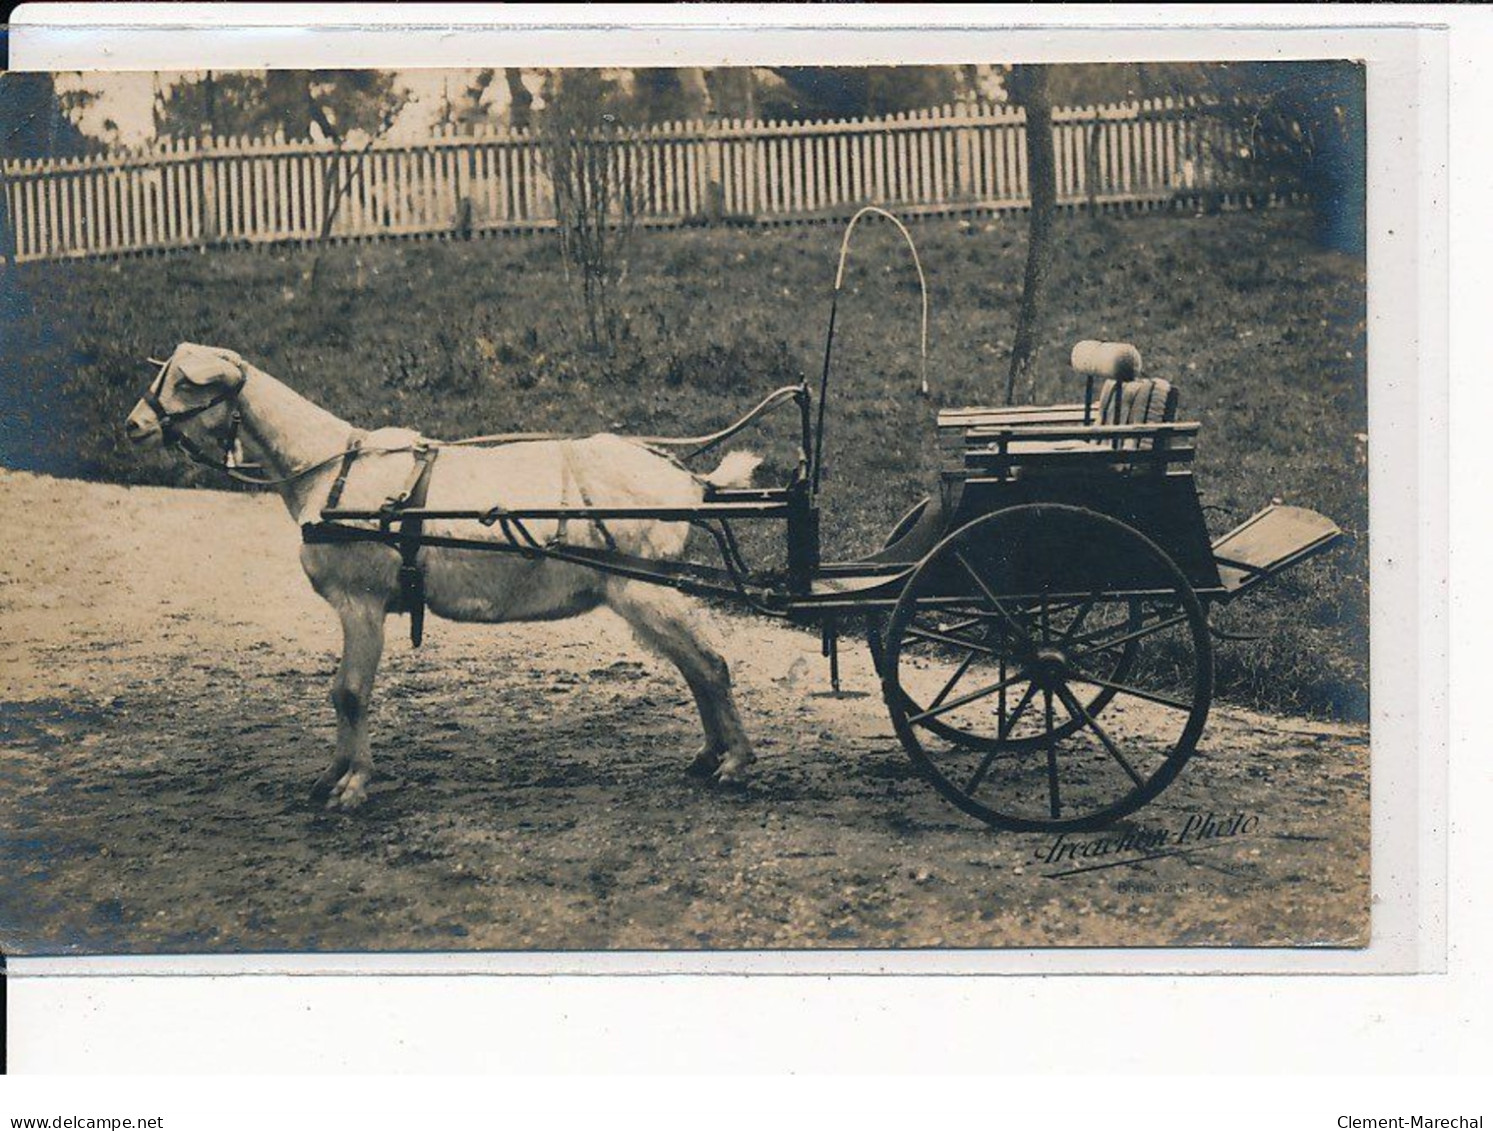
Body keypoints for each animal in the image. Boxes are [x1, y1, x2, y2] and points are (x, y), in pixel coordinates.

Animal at [126, 341, 758, 811]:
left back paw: (736, 761)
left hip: (647, 590)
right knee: (696, 670)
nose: (133, 425)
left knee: (710, 666)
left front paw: (352, 784)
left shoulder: (361, 603)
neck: (334, 470)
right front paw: (332, 774)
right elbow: (340, 693)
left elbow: (350, 692)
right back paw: (710, 755)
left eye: (185, 382)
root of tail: (688, 481)